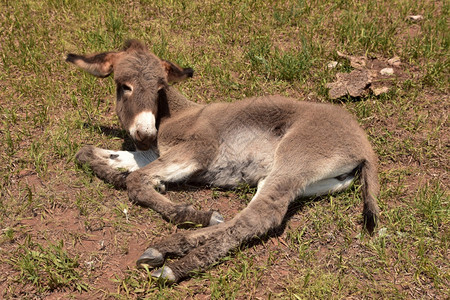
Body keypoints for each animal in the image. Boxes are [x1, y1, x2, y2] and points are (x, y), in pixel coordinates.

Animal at [67, 40, 380, 284]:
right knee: (247, 215)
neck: (176, 114)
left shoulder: (197, 149)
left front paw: (181, 209)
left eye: (159, 87)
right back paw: (172, 245)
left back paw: (175, 264)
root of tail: (363, 143)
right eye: (124, 86)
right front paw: (123, 176)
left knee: (260, 217)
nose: (145, 134)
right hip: (307, 180)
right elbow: (87, 153)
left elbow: (137, 180)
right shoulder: (154, 153)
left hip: (296, 156)